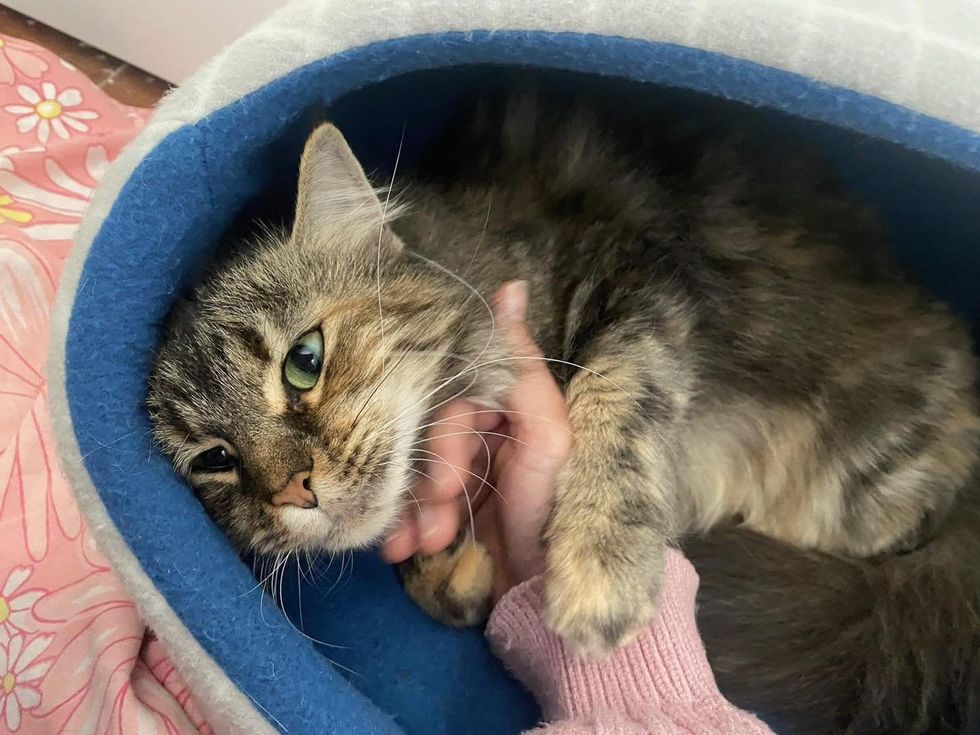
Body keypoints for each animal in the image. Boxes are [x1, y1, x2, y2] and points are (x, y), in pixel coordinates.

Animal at [145, 98, 980, 735]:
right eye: (214, 460)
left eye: (305, 360)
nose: (293, 490)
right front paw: (460, 570)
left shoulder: (639, 289)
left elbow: (614, 409)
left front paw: (598, 574)